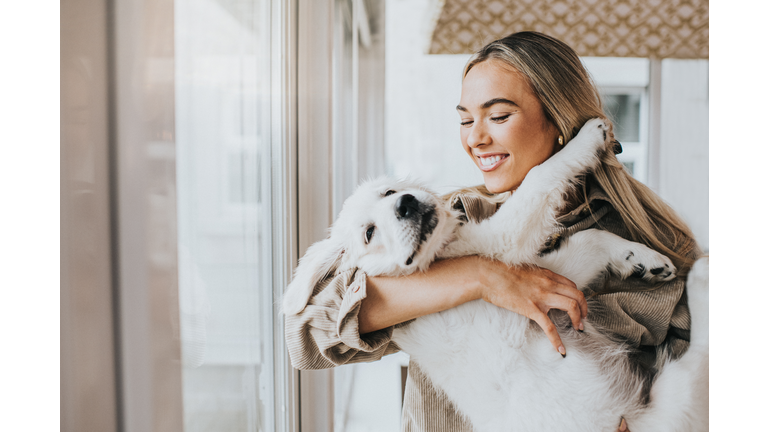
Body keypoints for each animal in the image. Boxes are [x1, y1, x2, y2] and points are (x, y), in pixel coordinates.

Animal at [282, 119, 708, 432]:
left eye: (389, 191)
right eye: (369, 233)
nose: (405, 203)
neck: (440, 254)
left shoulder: (552, 279)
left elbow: (591, 237)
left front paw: (645, 259)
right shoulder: (504, 243)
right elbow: (541, 176)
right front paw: (588, 137)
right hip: (671, 398)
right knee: (697, 353)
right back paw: (702, 279)